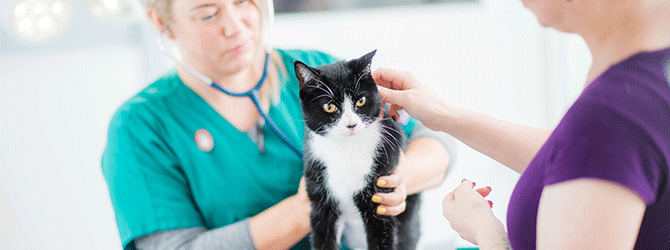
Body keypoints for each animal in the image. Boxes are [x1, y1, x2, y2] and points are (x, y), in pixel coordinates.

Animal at [296, 50, 420, 250]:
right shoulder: (320, 194)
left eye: (360, 101)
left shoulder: (381, 196)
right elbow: (322, 234)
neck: (347, 148)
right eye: (329, 106)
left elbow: (381, 234)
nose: (351, 125)